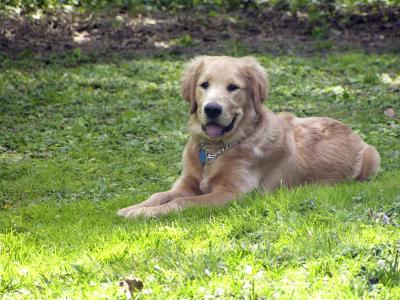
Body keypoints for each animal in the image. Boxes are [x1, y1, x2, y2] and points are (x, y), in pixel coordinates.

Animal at [117, 55, 380, 217]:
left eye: (233, 87)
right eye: (204, 85)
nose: (212, 109)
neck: (215, 150)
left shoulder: (233, 193)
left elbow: (183, 202)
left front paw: (144, 213)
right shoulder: (187, 182)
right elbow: (160, 195)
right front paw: (134, 208)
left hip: (372, 155)